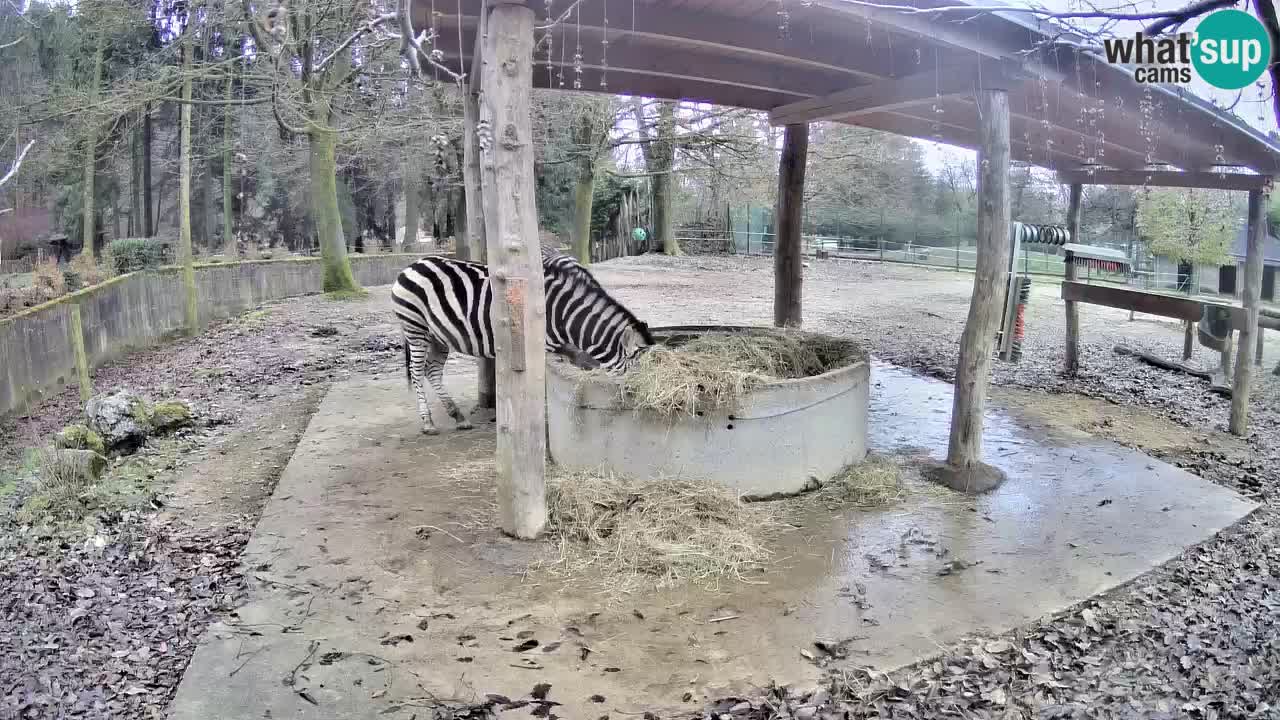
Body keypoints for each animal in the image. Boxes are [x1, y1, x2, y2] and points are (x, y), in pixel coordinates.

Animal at [389, 249, 655, 435]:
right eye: (639, 367)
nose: (646, 403)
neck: (565, 315)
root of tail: (412, 265)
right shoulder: (543, 348)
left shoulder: (567, 349)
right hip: (415, 327)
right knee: (416, 371)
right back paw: (428, 422)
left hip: (439, 336)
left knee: (432, 371)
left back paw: (458, 417)